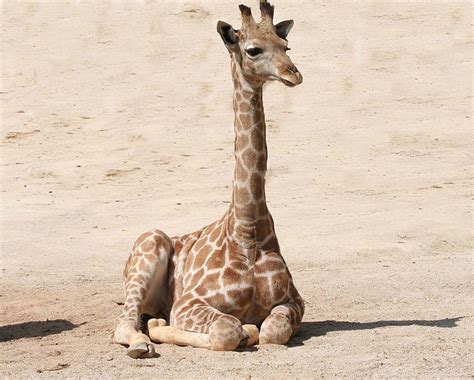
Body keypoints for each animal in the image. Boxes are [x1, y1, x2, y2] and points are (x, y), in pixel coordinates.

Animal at [112, 0, 304, 358]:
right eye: (252, 49)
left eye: (285, 46)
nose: (293, 73)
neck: (247, 231)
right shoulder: (188, 304)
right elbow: (227, 330)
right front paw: (243, 331)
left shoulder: (294, 300)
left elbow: (272, 331)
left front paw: (253, 331)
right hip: (147, 247)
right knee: (126, 322)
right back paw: (143, 343)